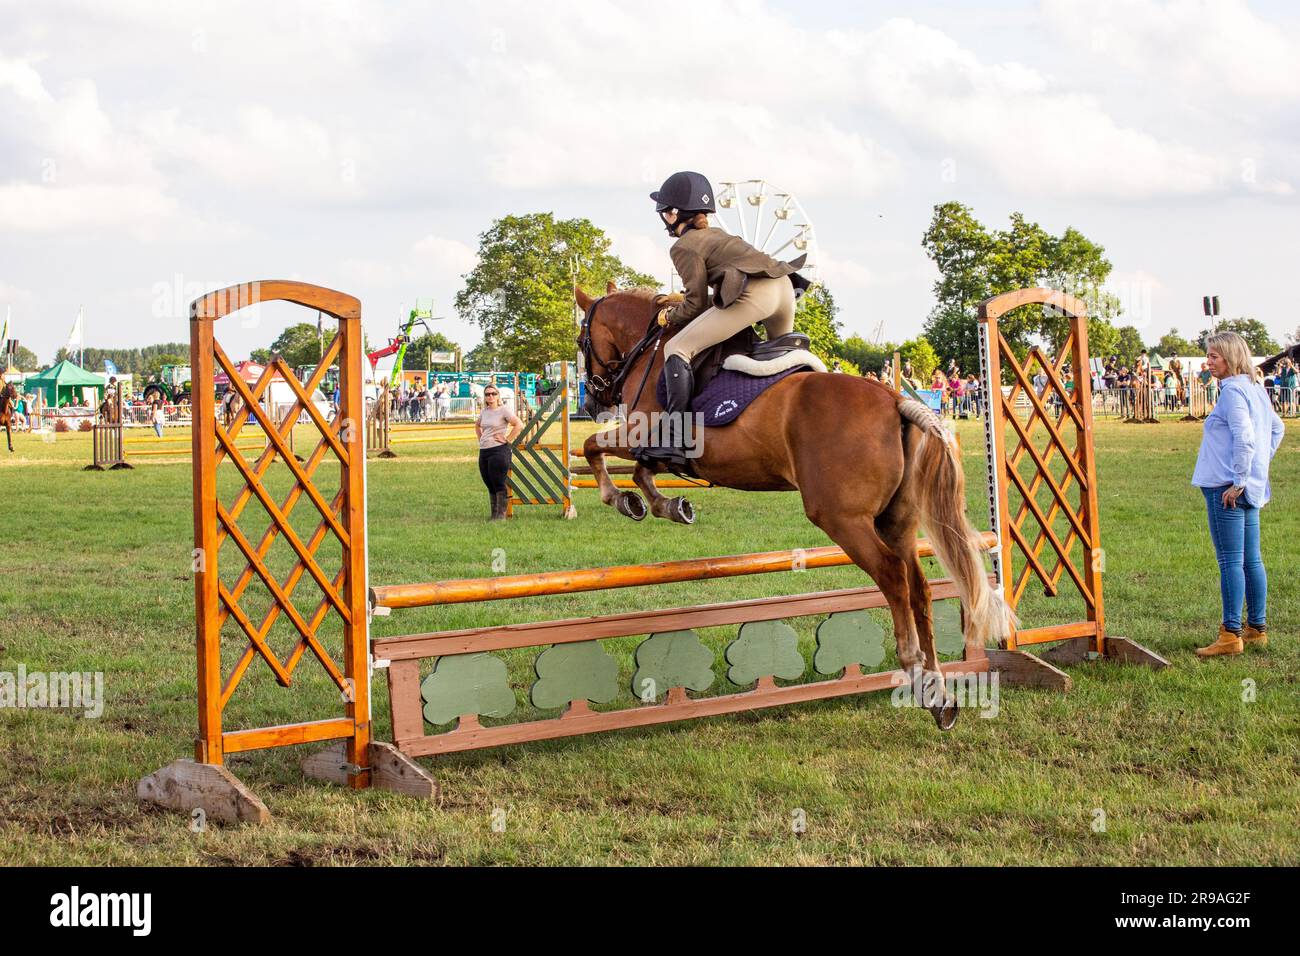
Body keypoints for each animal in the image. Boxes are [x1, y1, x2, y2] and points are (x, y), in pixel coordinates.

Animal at [575, 285, 1013, 728]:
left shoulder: (641, 431)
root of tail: (895, 401)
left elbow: (593, 447)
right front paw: (666, 504)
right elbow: (639, 470)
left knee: (893, 576)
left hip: (841, 518)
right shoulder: (652, 447)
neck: (650, 350)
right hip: (897, 522)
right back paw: (938, 691)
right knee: (918, 586)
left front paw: (620, 499)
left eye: (581, 341)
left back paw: (913, 669)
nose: (593, 403)